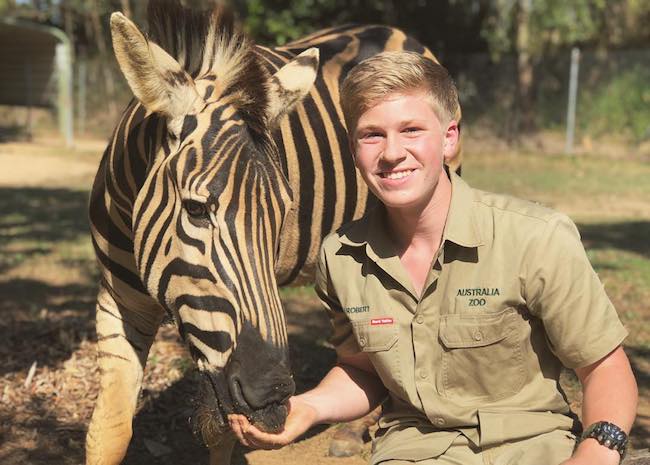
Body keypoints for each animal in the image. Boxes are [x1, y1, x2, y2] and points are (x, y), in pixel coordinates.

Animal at [86, 1, 460, 462]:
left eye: (284, 214)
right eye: (195, 209)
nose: (273, 395)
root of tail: (394, 31)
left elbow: (222, 433)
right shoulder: (120, 299)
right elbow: (110, 430)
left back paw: (353, 431)